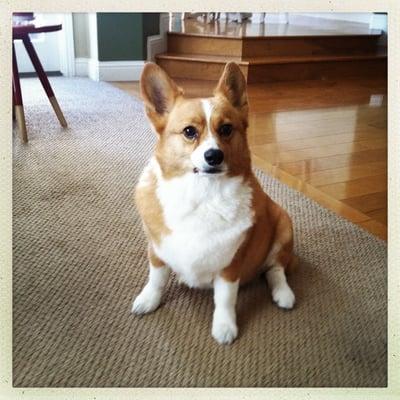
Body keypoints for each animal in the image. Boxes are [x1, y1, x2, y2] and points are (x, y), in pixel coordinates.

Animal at [132, 61, 296, 344]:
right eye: (189, 131)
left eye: (226, 129)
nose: (214, 156)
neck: (202, 195)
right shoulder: (157, 251)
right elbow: (156, 278)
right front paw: (148, 300)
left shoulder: (231, 266)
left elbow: (226, 299)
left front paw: (224, 327)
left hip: (284, 224)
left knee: (275, 269)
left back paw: (284, 294)